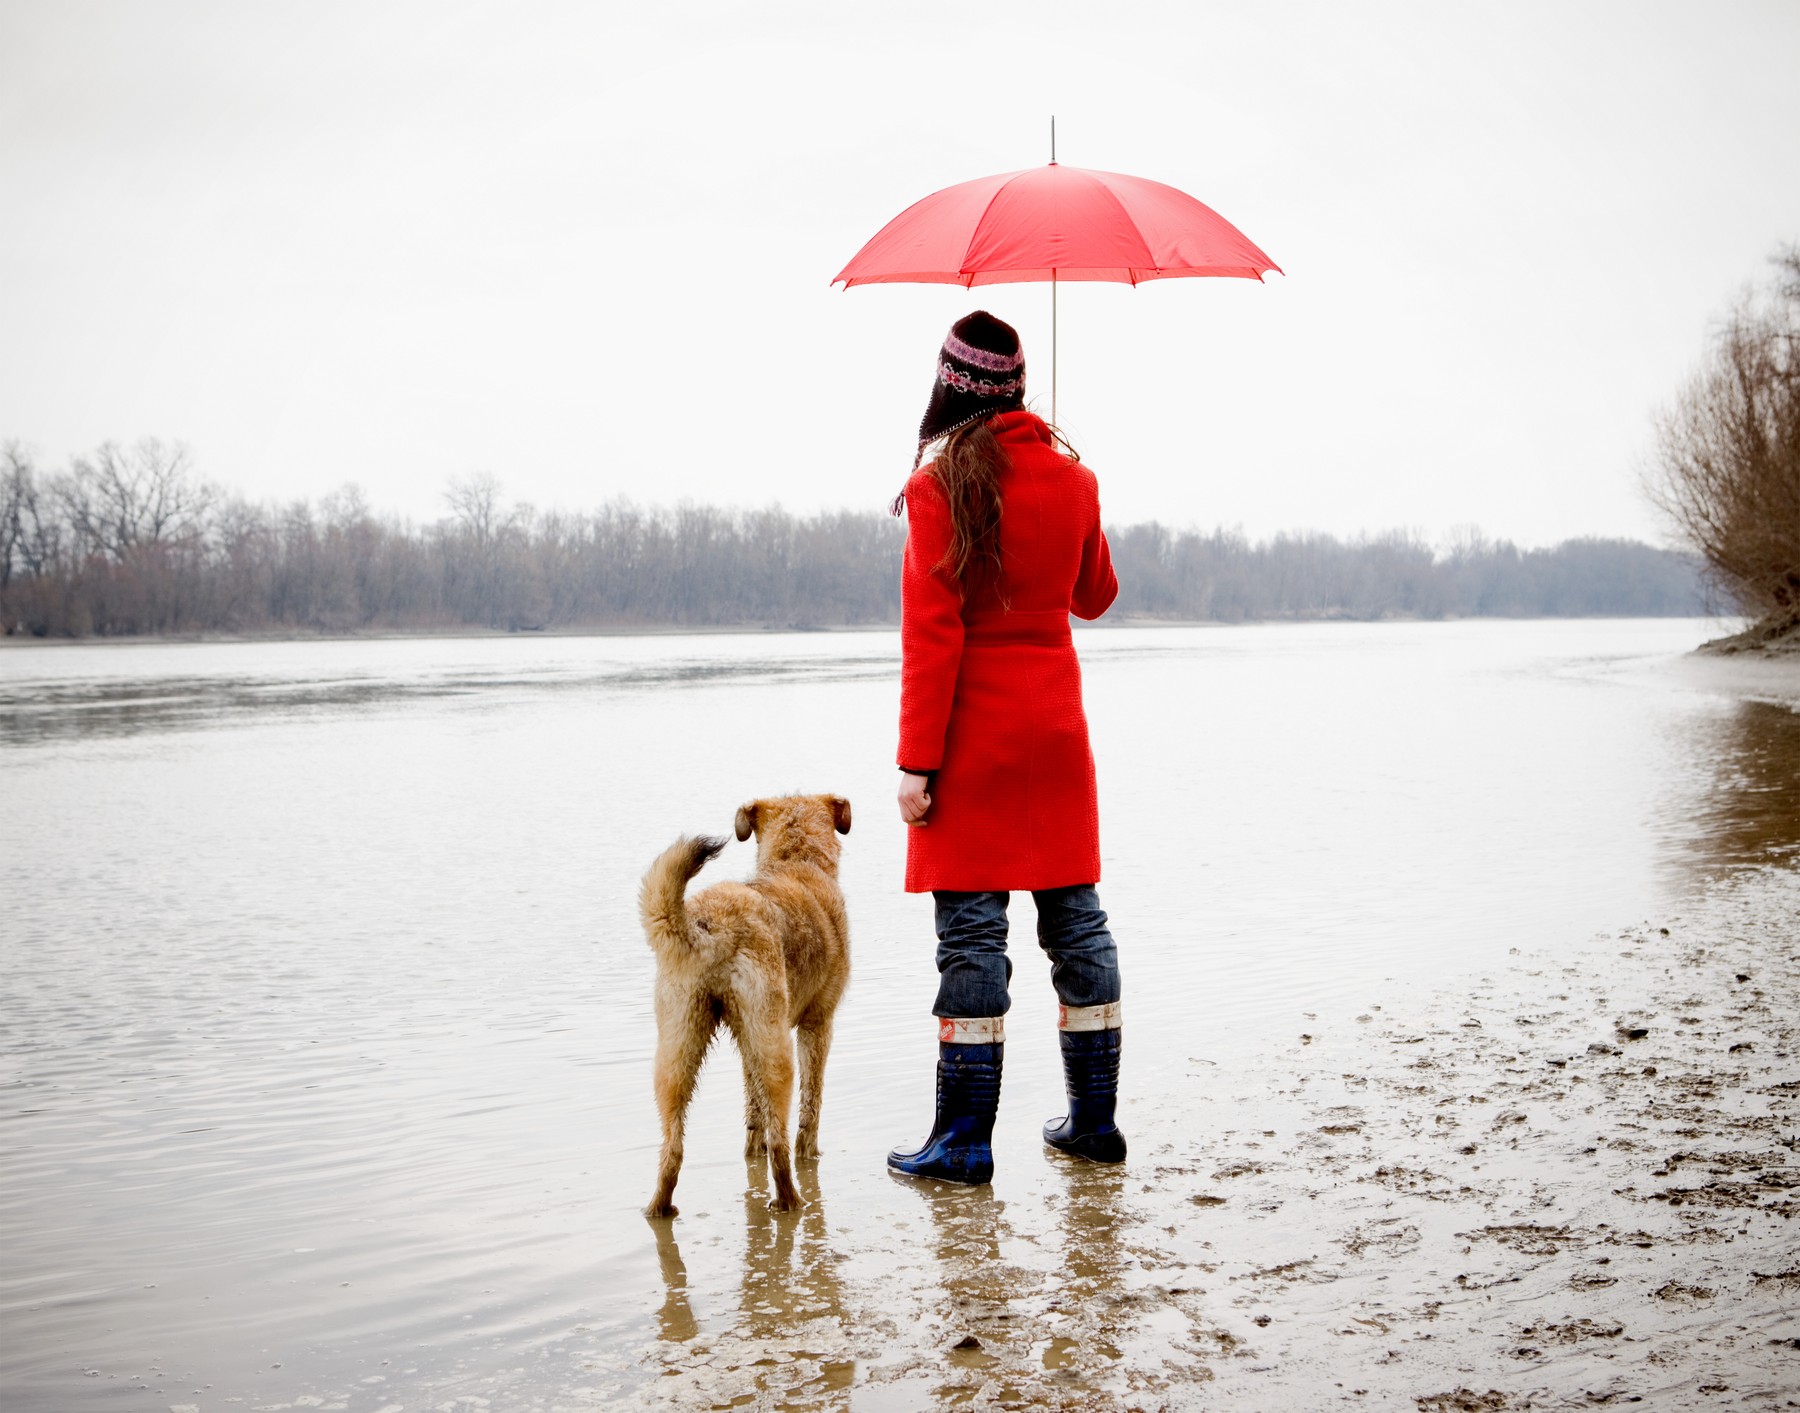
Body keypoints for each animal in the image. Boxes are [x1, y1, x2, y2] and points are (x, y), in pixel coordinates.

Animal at [640, 792, 849, 1209]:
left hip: (678, 1045)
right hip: (774, 1045)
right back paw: (790, 1199)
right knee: (781, 1141)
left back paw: (659, 1207)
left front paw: (753, 1149)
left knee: (672, 1146)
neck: (797, 862)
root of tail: (710, 925)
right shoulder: (818, 1023)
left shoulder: (746, 1038)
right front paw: (810, 1152)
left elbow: (754, 1107)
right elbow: (810, 1104)